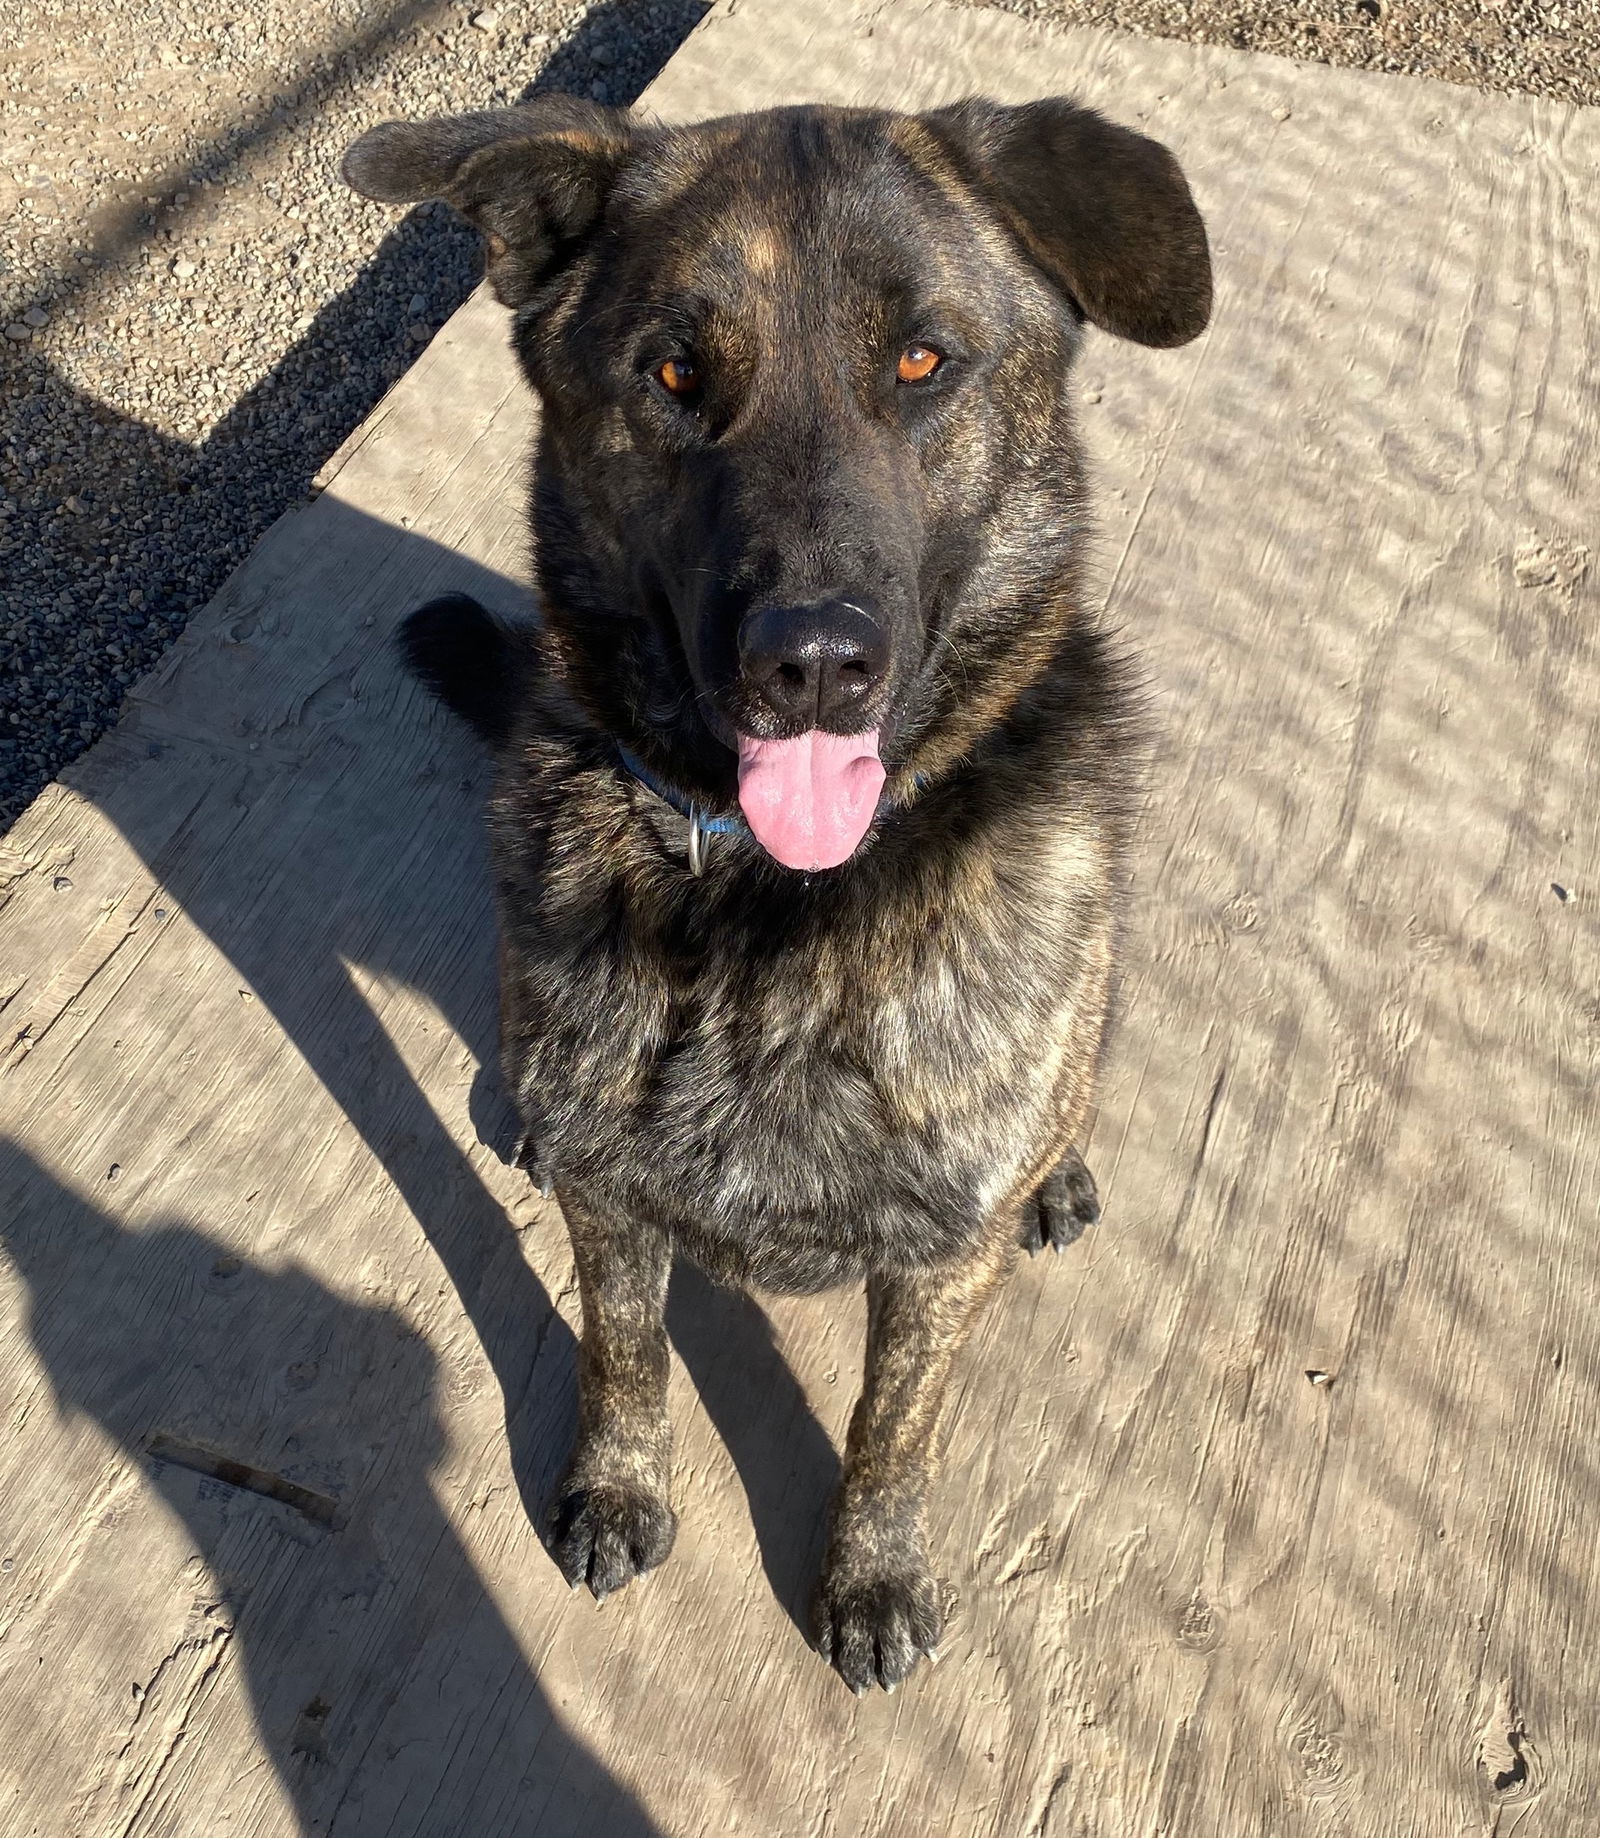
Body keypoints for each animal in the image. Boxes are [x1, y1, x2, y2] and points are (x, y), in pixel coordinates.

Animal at [341, 89, 1212, 1690]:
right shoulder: (615, 1205)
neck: (774, 907)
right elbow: (623, 1349)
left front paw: (869, 1570)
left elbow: (890, 1428)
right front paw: (618, 1484)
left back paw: (1057, 1172)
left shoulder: (936, 1272)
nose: (811, 662)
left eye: (923, 361)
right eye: (676, 375)